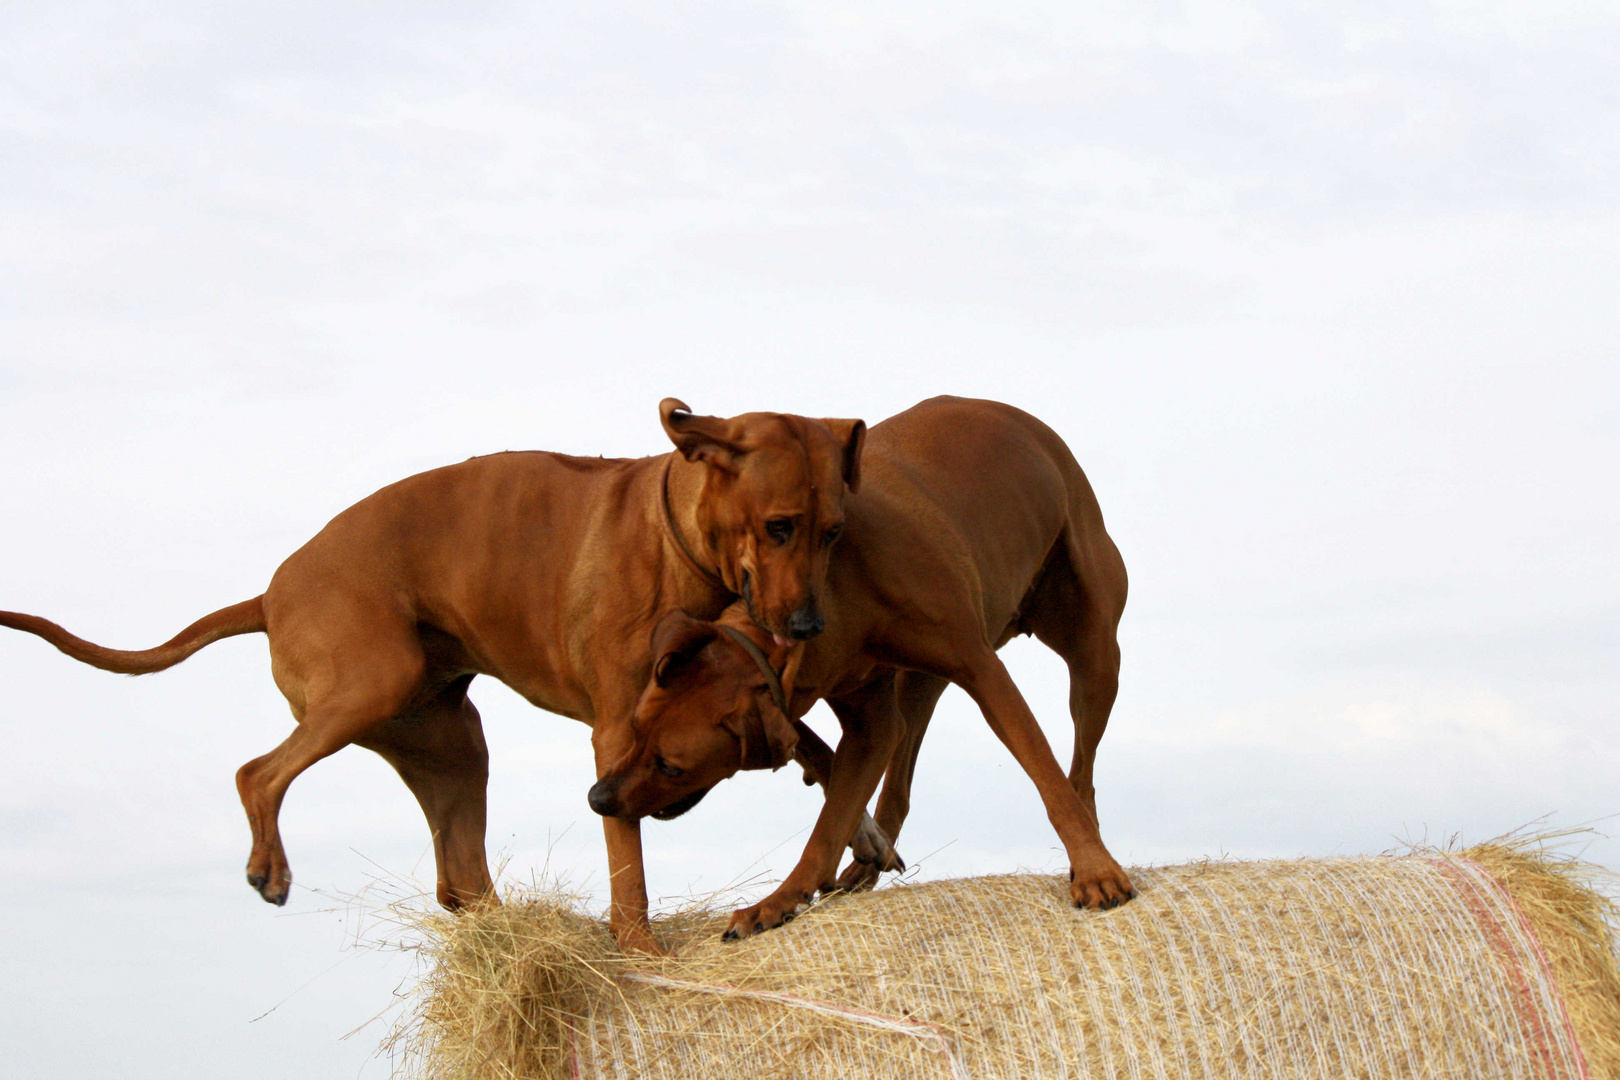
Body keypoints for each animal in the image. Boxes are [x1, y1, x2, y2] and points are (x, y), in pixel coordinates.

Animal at [0, 399, 868, 952]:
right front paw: (641, 951)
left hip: (450, 739)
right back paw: (269, 868)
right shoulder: (619, 733)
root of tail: (270, 594)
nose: (808, 627)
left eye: (833, 532)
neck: (674, 529)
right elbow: (629, 859)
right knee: (258, 772)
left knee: (460, 884)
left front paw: (859, 833)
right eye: (778, 527)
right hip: (374, 680)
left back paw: (517, 937)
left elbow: (816, 749)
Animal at [589, 396, 1134, 939]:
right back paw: (866, 868)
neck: (844, 585)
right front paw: (778, 901)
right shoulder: (867, 718)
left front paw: (1096, 872)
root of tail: (1025, 420)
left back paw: (1090, 846)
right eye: (635, 729)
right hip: (918, 685)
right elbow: (830, 826)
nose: (598, 798)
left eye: (670, 766)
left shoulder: (982, 670)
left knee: (1081, 772)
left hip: (1093, 654)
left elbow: (1047, 777)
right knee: (899, 783)